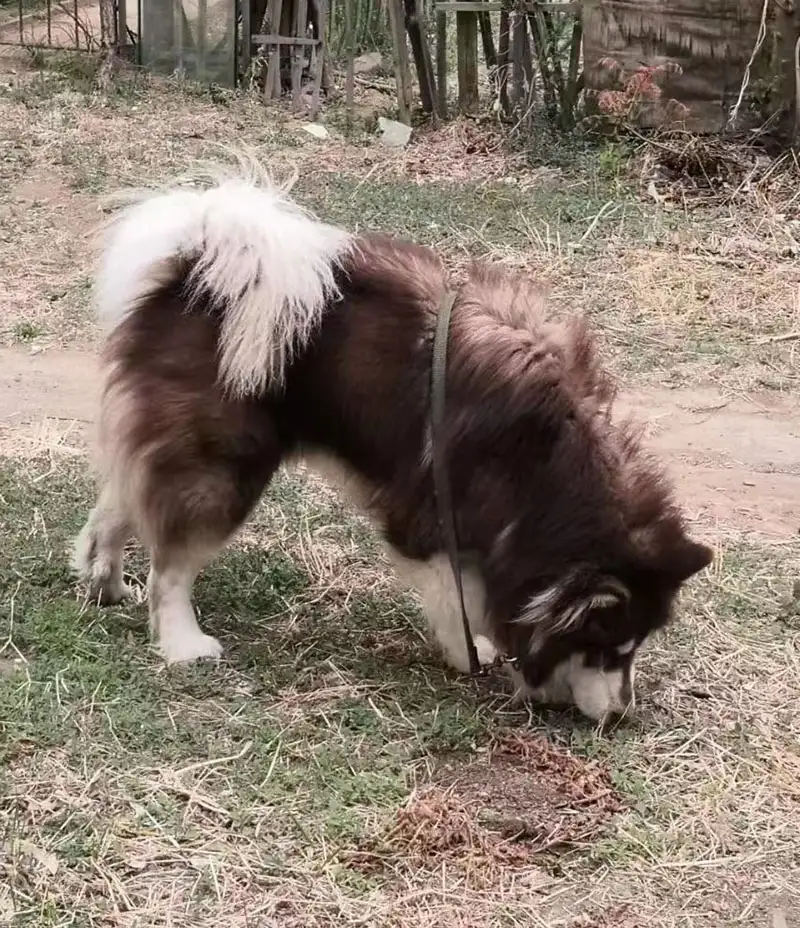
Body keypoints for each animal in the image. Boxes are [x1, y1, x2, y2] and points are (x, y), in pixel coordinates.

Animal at [73, 163, 712, 720]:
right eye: (608, 650)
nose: (622, 716)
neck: (547, 456)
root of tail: (196, 266)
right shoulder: (429, 519)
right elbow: (461, 598)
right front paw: (472, 653)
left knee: (121, 501)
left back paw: (103, 580)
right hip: (224, 467)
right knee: (171, 564)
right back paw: (183, 643)